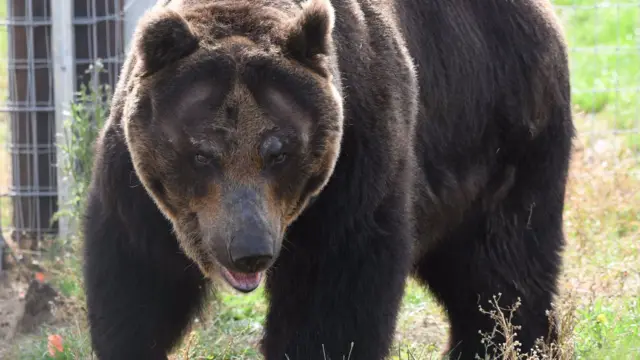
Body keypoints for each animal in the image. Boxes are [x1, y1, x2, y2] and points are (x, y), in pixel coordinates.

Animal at [81, 0, 576, 360]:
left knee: (504, 271)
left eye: (279, 151)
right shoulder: (138, 194)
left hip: (503, 140)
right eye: (201, 153)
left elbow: (334, 302)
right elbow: (134, 289)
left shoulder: (354, 172)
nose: (249, 250)